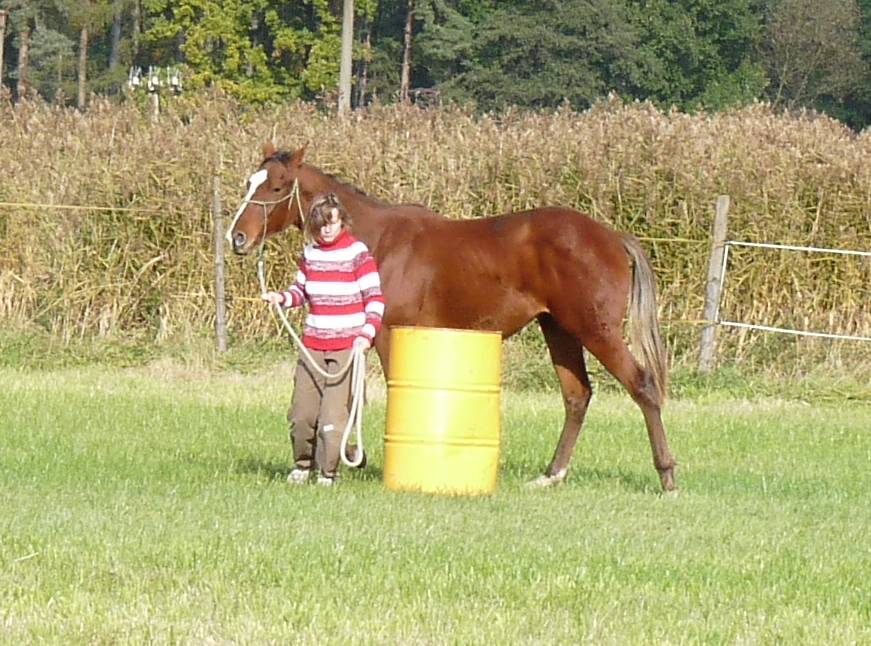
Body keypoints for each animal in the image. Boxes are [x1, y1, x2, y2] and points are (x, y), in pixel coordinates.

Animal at [228, 144, 676, 494]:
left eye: (277, 186)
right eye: (250, 182)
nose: (238, 238)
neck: (380, 240)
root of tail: (613, 237)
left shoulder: (388, 333)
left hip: (596, 331)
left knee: (642, 385)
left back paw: (667, 475)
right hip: (560, 331)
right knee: (577, 395)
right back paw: (552, 474)